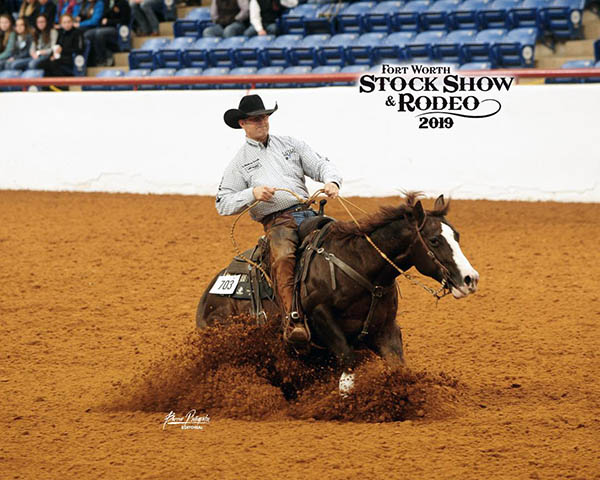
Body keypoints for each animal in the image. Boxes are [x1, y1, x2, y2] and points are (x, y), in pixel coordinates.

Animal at [197, 192, 478, 394]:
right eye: (434, 240)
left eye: (457, 235)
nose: (470, 279)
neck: (361, 267)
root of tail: (207, 298)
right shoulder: (320, 316)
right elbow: (346, 355)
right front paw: (345, 393)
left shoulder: (386, 328)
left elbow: (397, 366)